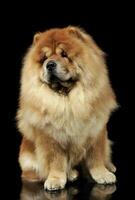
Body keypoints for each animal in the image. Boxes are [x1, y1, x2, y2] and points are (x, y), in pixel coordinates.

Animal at [16, 25, 117, 190]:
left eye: (64, 54)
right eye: (44, 58)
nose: (50, 64)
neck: (68, 100)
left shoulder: (96, 131)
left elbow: (96, 157)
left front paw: (103, 174)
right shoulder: (50, 137)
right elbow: (56, 161)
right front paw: (55, 180)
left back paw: (110, 166)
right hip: (27, 159)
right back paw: (71, 174)